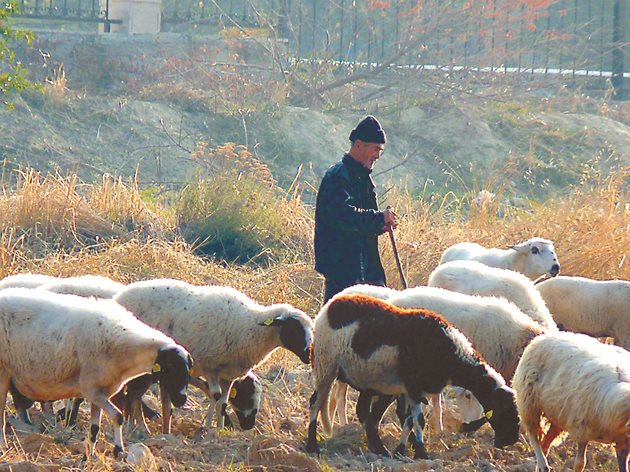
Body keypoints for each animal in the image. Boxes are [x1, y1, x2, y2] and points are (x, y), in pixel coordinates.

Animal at [0, 288, 193, 458]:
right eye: (168, 368)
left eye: (188, 369)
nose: (181, 399)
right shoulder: (90, 389)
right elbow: (118, 416)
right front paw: (117, 450)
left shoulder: (100, 392)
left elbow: (94, 428)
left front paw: (89, 455)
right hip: (2, 372)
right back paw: (3, 444)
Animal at [112, 278, 314, 434]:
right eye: (294, 330)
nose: (308, 356)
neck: (249, 327)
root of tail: (118, 297)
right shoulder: (210, 367)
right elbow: (215, 396)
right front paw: (208, 427)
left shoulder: (228, 375)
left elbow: (223, 402)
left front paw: (220, 429)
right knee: (132, 393)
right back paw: (138, 427)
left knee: (134, 393)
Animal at [308, 294, 524, 460]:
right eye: (505, 410)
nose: (510, 440)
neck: (451, 354)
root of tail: (334, 303)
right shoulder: (412, 386)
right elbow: (418, 420)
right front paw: (421, 453)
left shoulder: (415, 390)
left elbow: (409, 421)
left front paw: (400, 450)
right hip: (325, 363)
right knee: (315, 402)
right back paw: (312, 445)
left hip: (371, 381)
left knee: (367, 414)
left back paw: (380, 449)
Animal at [516, 332, 628, 472]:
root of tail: (544, 336)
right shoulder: (581, 429)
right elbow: (580, 463)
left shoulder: (624, 442)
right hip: (529, 402)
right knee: (533, 434)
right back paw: (542, 463)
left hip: (557, 414)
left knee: (545, 443)